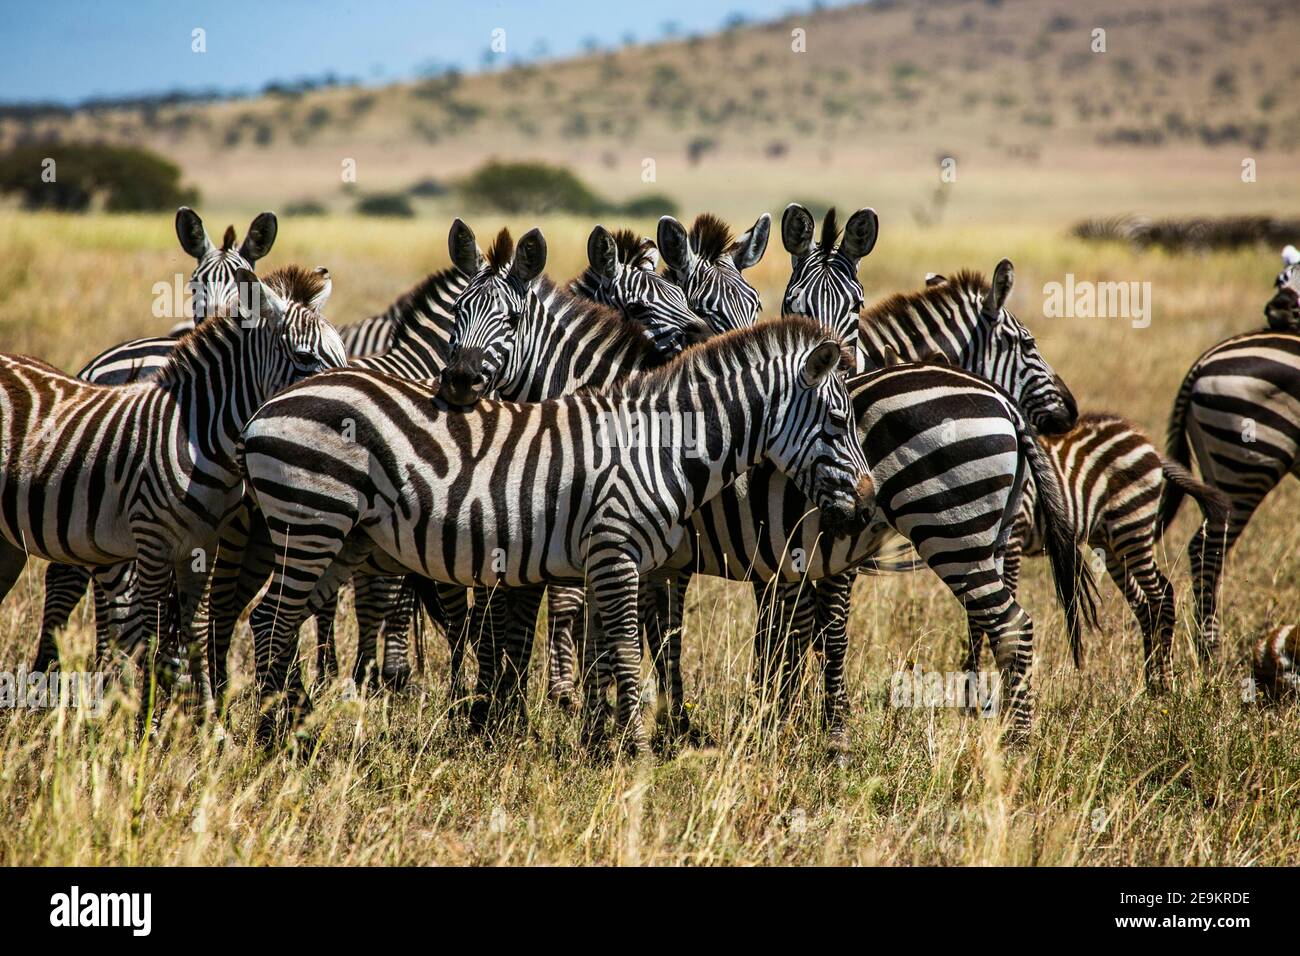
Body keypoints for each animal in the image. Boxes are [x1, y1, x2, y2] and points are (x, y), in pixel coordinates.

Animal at [0, 261, 345, 723]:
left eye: (342, 354)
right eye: (305, 357)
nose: (343, 403)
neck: (200, 438)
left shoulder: (202, 546)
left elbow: (195, 629)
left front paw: (209, 724)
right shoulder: (151, 543)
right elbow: (151, 633)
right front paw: (146, 724)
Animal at [243, 317, 873, 749]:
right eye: (839, 421)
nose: (868, 505)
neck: (659, 448)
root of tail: (267, 408)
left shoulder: (610, 558)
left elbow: (607, 649)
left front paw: (604, 741)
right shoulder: (616, 548)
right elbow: (625, 649)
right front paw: (636, 749)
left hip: (341, 537)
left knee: (272, 618)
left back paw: (293, 727)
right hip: (312, 520)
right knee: (275, 618)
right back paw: (277, 739)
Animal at [982, 411, 1227, 686]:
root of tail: (1145, 442)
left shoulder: (1012, 540)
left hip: (1131, 528)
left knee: (1161, 595)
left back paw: (1164, 681)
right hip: (1109, 544)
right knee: (1143, 603)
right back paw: (1151, 683)